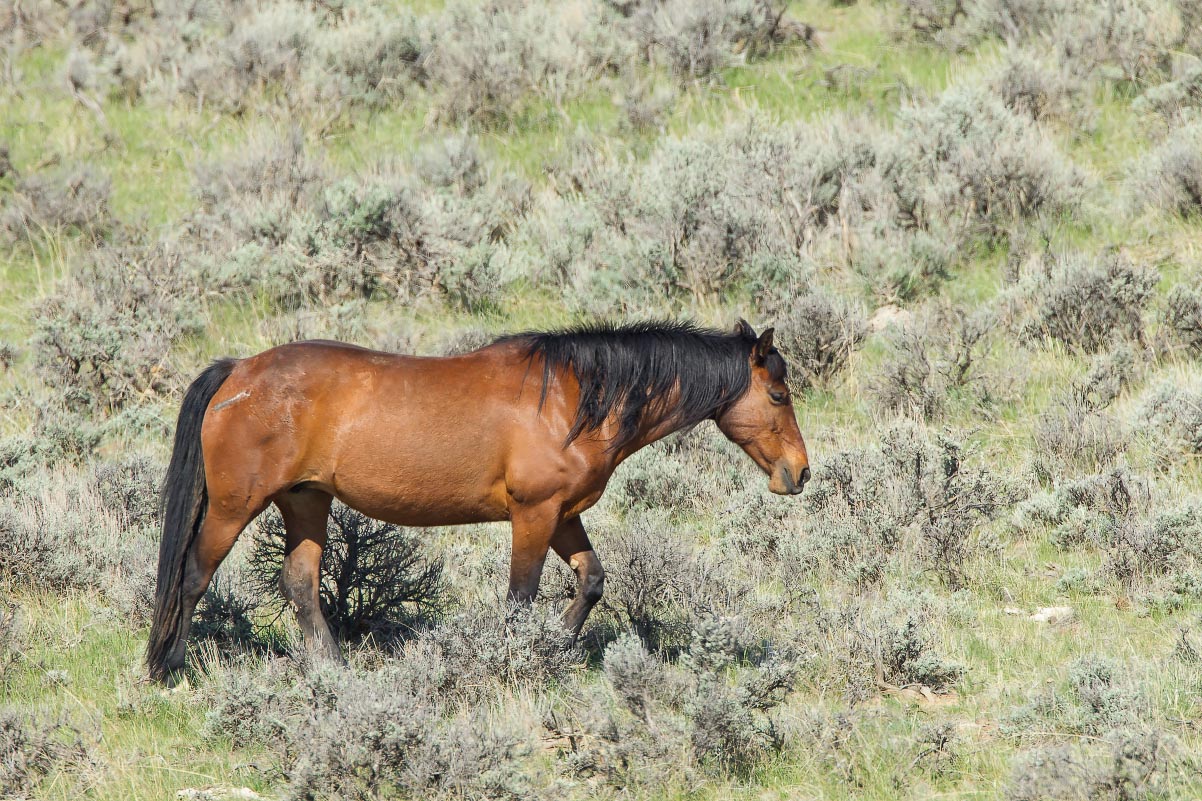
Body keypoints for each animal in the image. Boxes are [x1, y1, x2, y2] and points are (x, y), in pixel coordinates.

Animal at [145, 317, 812, 678]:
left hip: (306, 502)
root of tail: (238, 372)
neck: (574, 397)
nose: (800, 473)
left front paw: (558, 647)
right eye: (779, 395)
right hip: (235, 506)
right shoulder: (534, 515)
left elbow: (592, 581)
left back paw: (333, 669)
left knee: (300, 583)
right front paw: (520, 662)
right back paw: (170, 665)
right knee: (194, 574)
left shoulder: (563, 515)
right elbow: (520, 600)